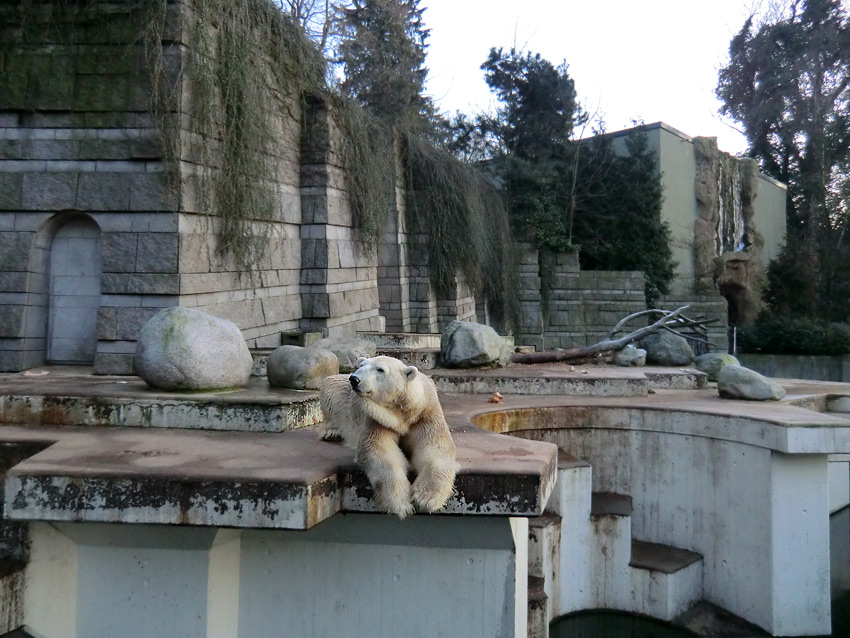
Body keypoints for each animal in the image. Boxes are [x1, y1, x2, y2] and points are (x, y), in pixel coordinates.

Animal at [320, 358, 458, 516]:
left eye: (380, 369)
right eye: (361, 365)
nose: (354, 379)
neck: (401, 412)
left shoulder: (425, 414)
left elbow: (436, 447)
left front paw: (425, 499)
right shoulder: (379, 420)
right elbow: (380, 451)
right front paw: (400, 504)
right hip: (340, 393)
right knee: (330, 389)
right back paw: (332, 433)